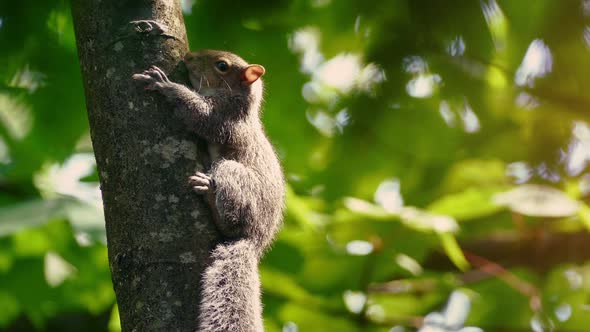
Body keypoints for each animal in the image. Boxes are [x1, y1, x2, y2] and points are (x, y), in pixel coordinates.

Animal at [133, 50, 286, 332]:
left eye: (222, 66)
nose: (189, 57)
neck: (239, 100)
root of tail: (255, 238)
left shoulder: (223, 117)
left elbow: (200, 115)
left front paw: (165, 85)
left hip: (232, 175)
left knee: (231, 223)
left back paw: (209, 195)